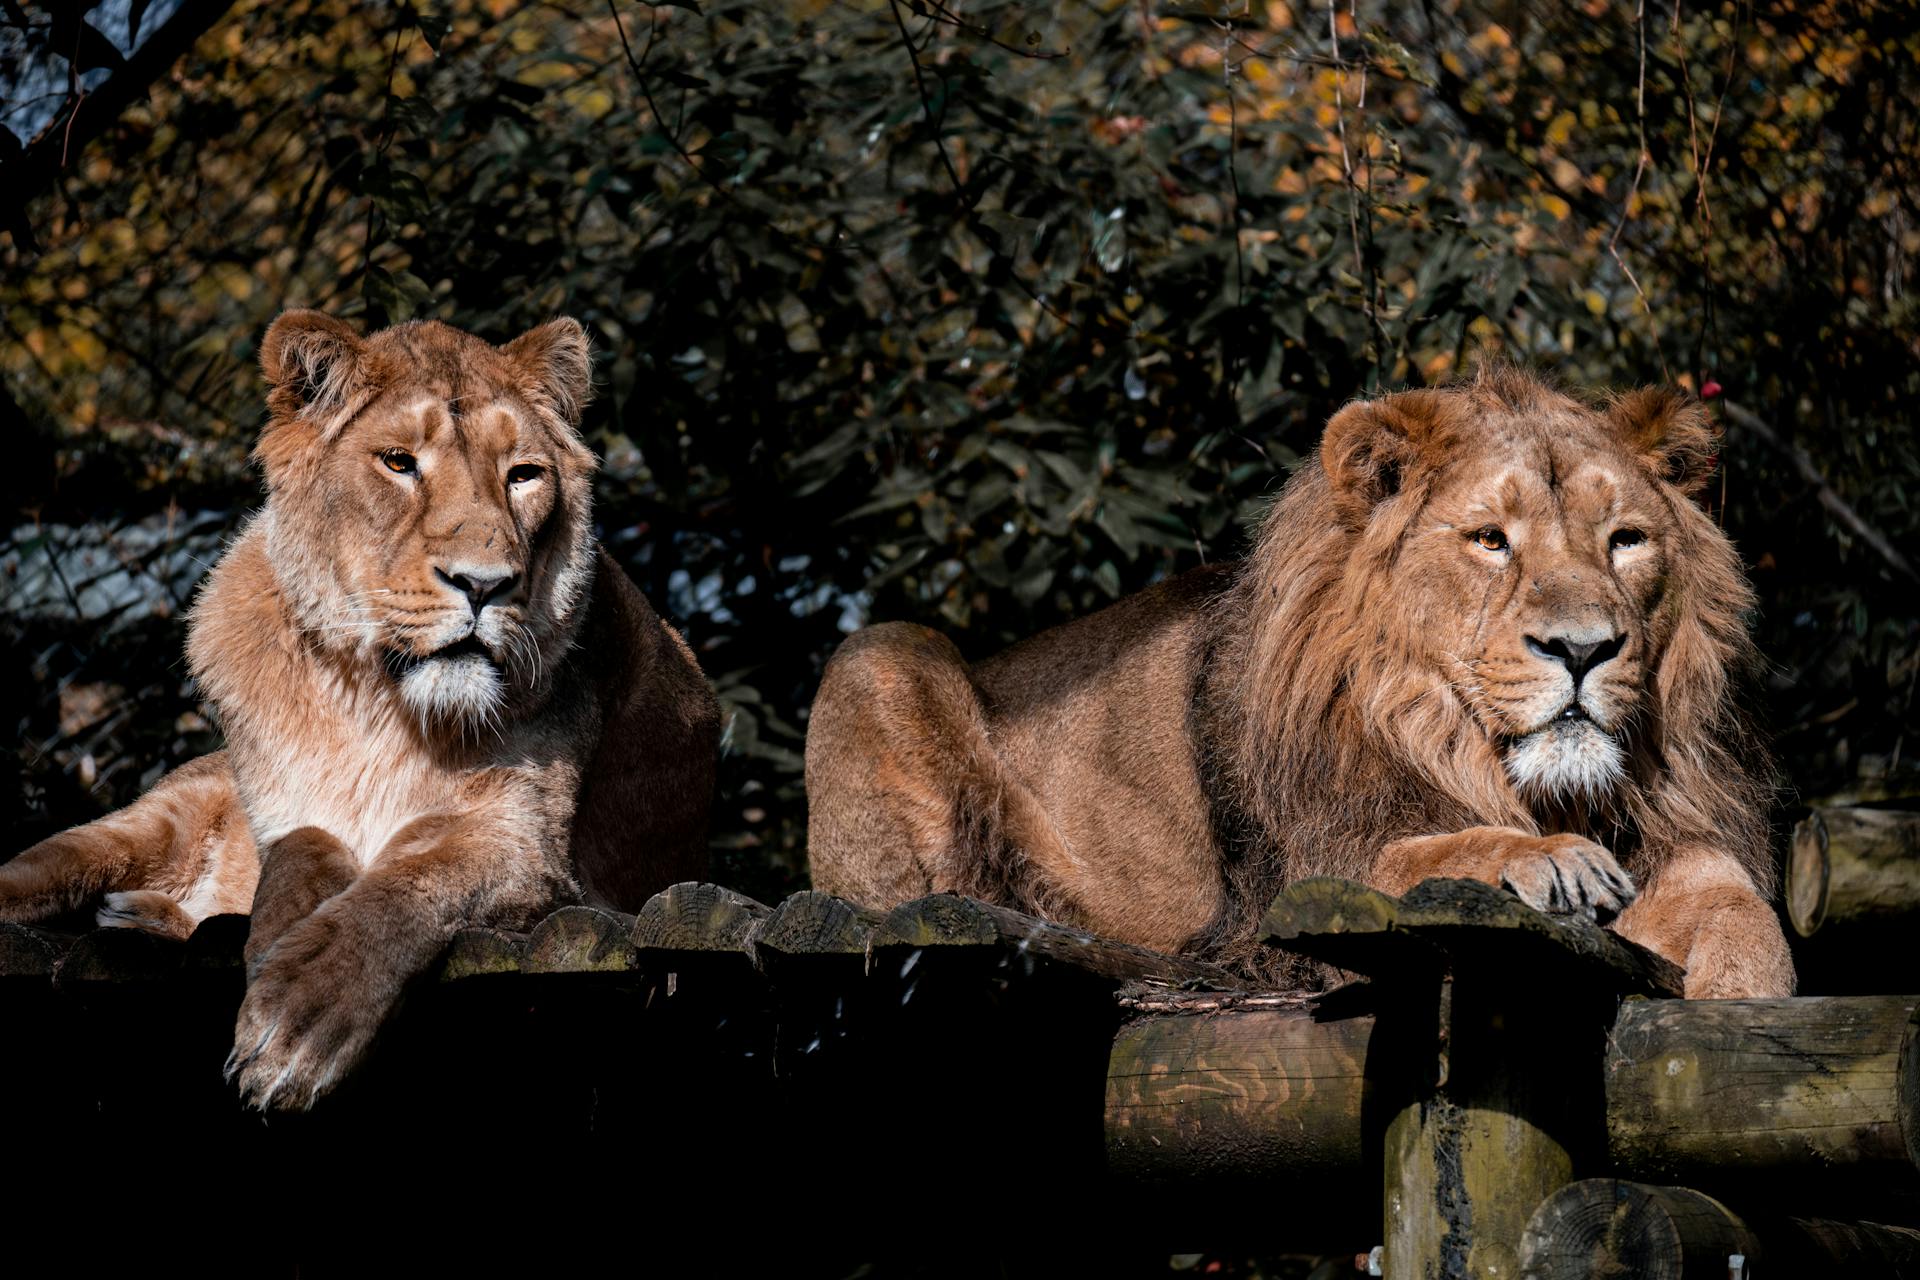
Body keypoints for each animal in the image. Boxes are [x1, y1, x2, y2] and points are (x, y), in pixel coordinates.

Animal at [1, 312, 721, 1113]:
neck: (378, 706)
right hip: (135, 832)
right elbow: (301, 849)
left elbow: (408, 881)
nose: (486, 584)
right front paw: (276, 939)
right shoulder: (286, 814)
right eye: (399, 463)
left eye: (523, 475)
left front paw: (297, 1021)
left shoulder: (532, 853)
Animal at [810, 368, 1797, 997]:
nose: (1584, 648)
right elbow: (1423, 853)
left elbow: (1743, 912)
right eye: (1490, 539)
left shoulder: (1680, 836)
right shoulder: (1291, 886)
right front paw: (1546, 859)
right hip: (880, 653)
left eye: (1625, 539)